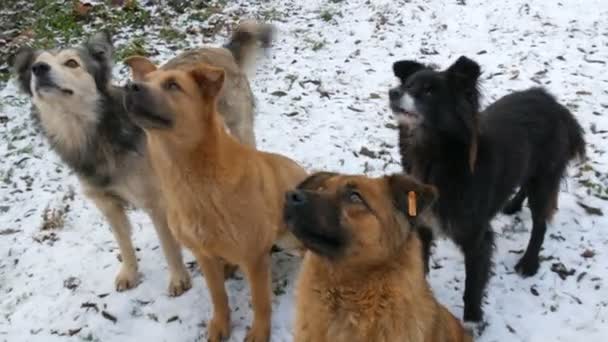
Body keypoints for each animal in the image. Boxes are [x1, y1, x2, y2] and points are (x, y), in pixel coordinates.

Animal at [123, 62, 306, 342]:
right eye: (147, 79)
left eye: (173, 85)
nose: (129, 86)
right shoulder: (204, 255)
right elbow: (218, 296)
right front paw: (221, 324)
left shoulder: (254, 257)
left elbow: (260, 301)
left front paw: (259, 332)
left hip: (289, 237)